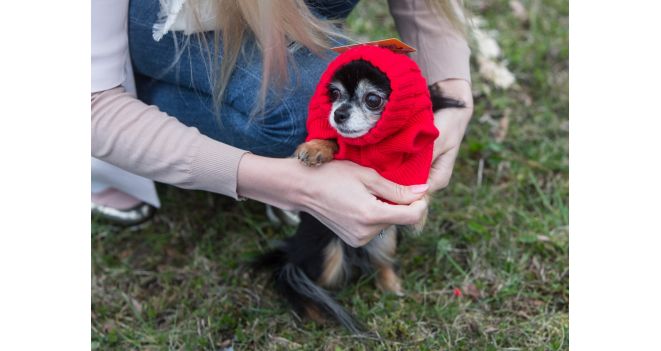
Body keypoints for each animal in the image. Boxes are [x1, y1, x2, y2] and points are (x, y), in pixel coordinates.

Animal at [254, 57, 464, 332]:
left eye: (373, 99)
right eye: (334, 94)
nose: (338, 113)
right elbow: (336, 140)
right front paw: (316, 147)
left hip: (385, 239)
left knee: (380, 262)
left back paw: (391, 286)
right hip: (326, 254)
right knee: (296, 274)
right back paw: (315, 310)